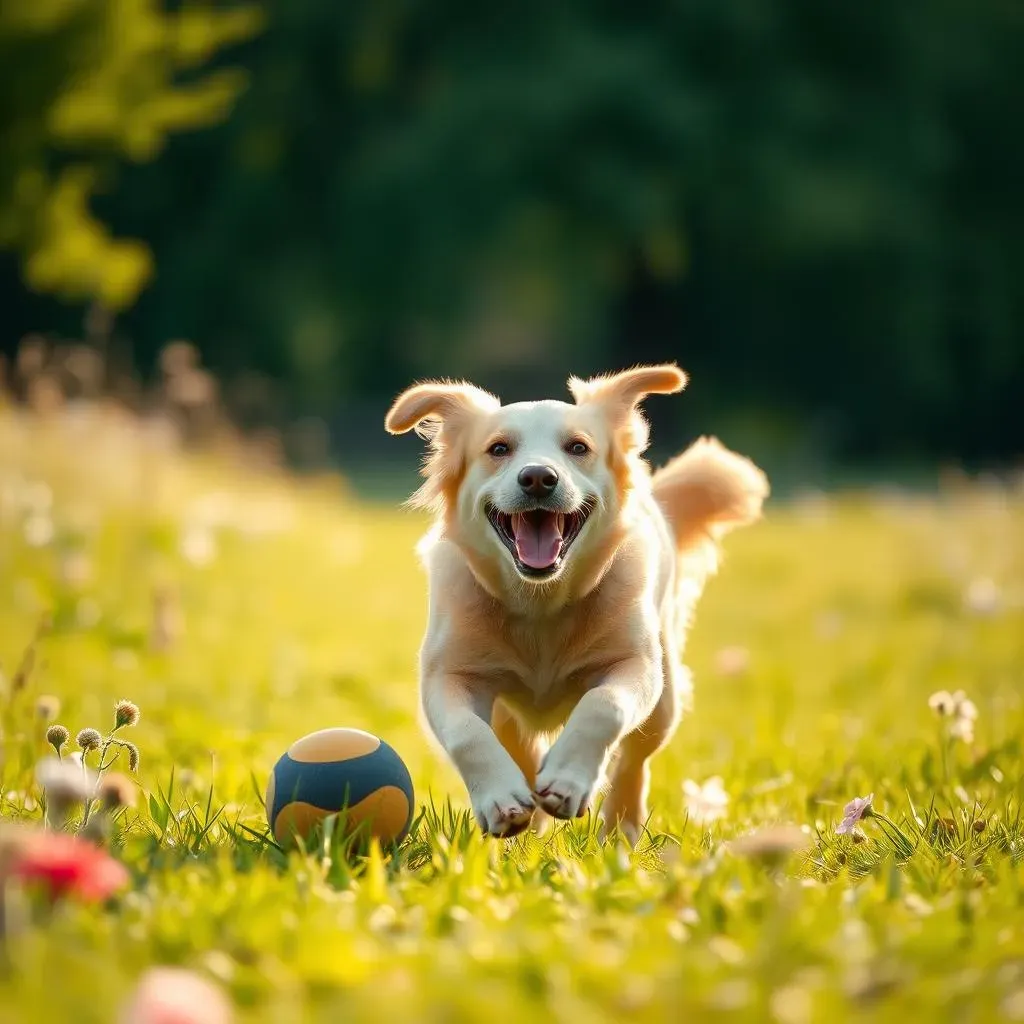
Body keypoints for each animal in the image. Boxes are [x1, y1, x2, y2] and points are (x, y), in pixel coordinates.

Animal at [385, 364, 770, 843]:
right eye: (498, 449)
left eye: (578, 447)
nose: (537, 478)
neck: (540, 602)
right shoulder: (448, 674)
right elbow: (466, 731)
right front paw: (501, 799)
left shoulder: (635, 664)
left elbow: (604, 706)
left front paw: (568, 781)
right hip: (509, 714)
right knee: (522, 748)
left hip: (665, 697)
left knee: (635, 760)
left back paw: (620, 828)